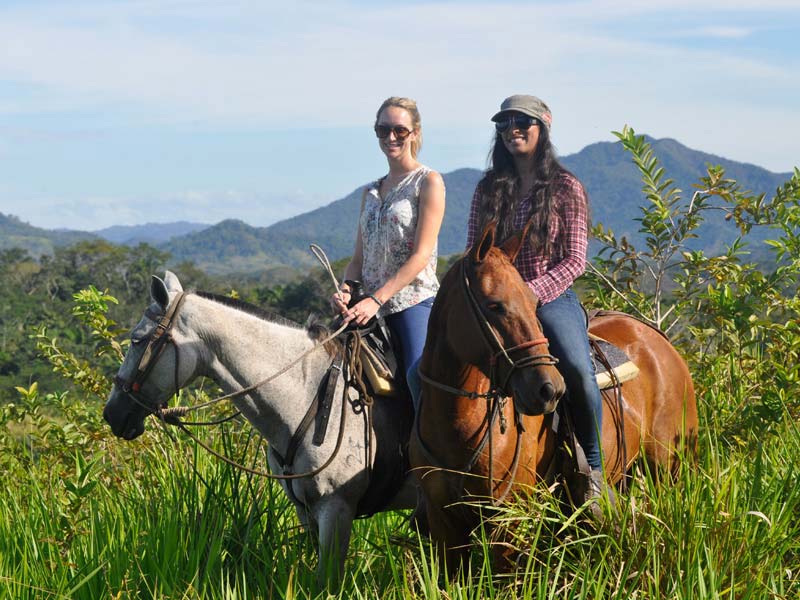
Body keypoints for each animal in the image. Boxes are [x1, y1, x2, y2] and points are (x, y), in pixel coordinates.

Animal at [103, 272, 416, 584]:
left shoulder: (337, 507)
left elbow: (327, 582)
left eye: (137, 340)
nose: (111, 414)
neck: (310, 395)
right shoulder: (307, 510)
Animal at [410, 223, 696, 576]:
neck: (459, 423)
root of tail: (657, 338)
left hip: (668, 469)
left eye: (534, 303)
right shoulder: (444, 524)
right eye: (494, 305)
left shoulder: (509, 520)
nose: (549, 390)